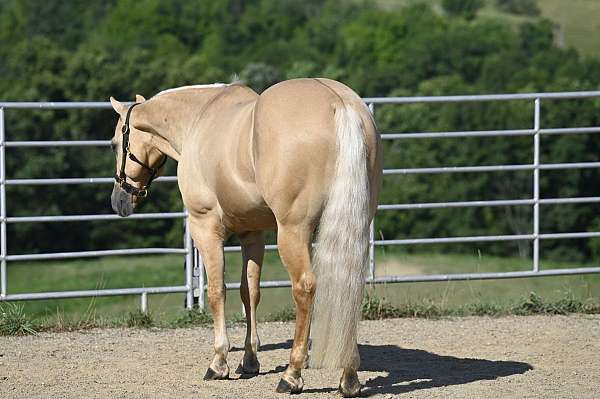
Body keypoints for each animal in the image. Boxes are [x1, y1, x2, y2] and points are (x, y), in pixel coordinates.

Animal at [110, 79, 382, 396]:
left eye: (115, 144)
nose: (119, 201)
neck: (198, 119)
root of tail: (339, 104)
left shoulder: (206, 227)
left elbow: (217, 291)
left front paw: (219, 363)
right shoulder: (252, 233)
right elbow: (249, 292)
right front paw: (250, 361)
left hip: (293, 232)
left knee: (305, 288)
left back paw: (292, 375)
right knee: (347, 286)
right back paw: (349, 377)